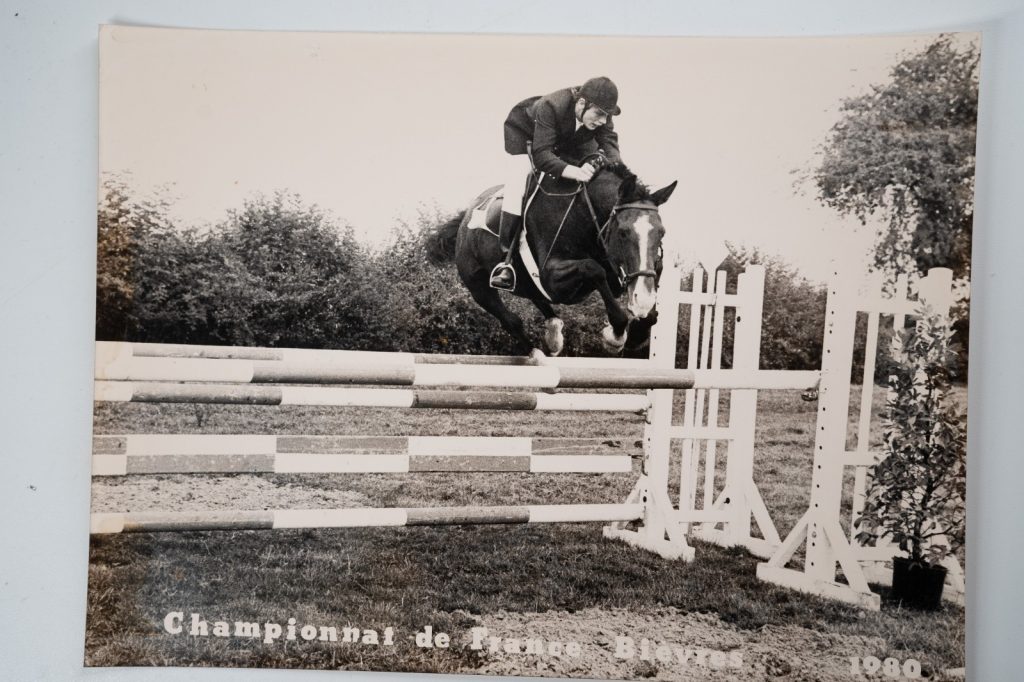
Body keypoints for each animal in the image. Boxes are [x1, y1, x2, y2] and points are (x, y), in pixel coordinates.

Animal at [429, 163, 676, 356]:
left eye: (662, 232)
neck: (584, 216)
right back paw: (538, 353)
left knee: (538, 300)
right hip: (478, 287)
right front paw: (615, 335)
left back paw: (553, 335)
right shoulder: (552, 279)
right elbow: (593, 268)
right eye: (623, 233)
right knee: (510, 320)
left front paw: (638, 332)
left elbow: (654, 282)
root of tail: (465, 219)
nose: (641, 299)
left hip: (526, 283)